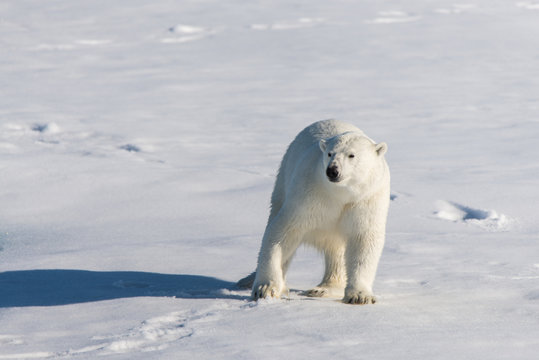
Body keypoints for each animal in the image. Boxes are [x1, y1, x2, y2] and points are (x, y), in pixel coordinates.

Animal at [238, 119, 390, 304]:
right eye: (330, 154)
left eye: (352, 155)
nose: (332, 171)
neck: (341, 193)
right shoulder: (311, 192)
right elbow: (284, 231)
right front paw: (265, 288)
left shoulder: (366, 198)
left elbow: (364, 239)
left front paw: (360, 296)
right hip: (283, 179)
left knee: (336, 249)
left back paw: (322, 289)